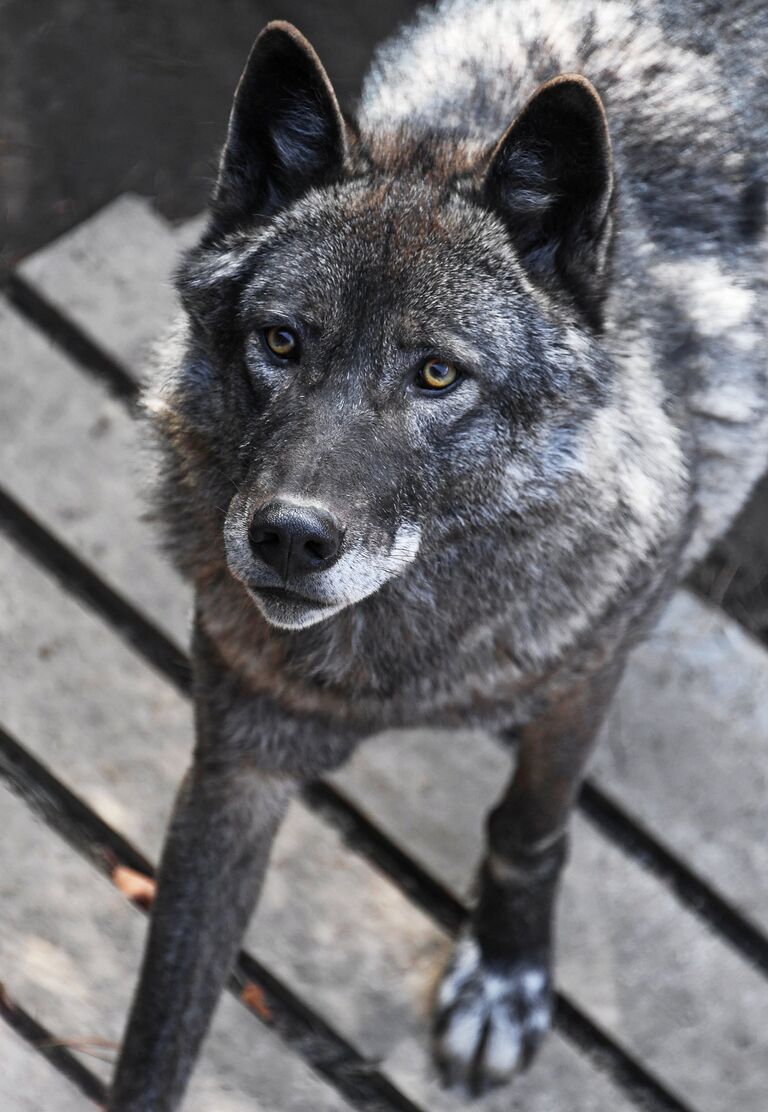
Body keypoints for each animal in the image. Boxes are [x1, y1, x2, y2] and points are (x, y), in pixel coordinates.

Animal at [109, 4, 768, 1107]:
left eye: (436, 375)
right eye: (280, 343)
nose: (290, 536)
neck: (395, 668)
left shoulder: (588, 662)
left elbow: (531, 825)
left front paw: (503, 979)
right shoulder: (238, 761)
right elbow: (157, 1036)